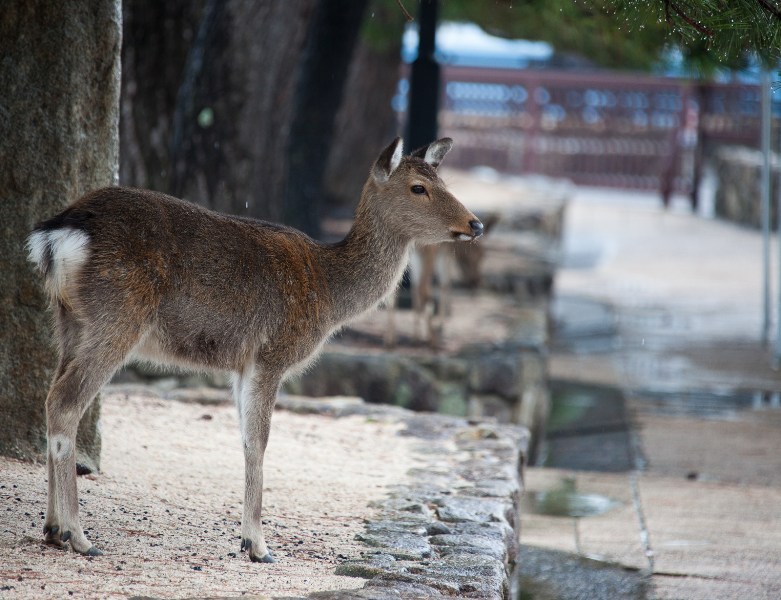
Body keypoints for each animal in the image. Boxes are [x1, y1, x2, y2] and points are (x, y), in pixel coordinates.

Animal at [26, 137, 483, 563]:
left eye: (443, 180)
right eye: (419, 187)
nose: (475, 223)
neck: (329, 292)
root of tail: (60, 232)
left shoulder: (240, 364)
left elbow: (245, 438)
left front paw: (248, 539)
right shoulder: (271, 354)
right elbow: (259, 441)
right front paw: (258, 546)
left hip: (70, 320)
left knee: (49, 396)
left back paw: (51, 528)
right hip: (116, 317)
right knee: (66, 401)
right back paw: (79, 536)